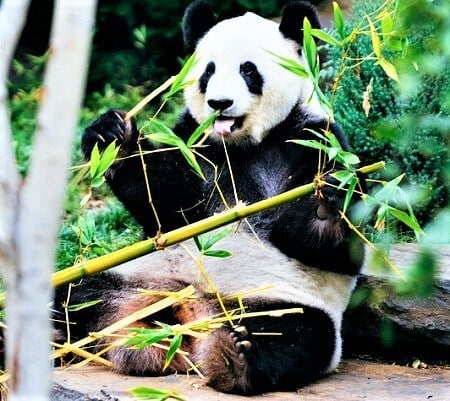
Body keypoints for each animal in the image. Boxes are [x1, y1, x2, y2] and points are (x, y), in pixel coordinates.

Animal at [55, 0, 366, 394]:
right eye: (209, 70)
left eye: (248, 69)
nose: (220, 103)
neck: (243, 144)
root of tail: (188, 315)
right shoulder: (195, 140)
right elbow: (167, 202)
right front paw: (113, 136)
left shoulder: (315, 138)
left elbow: (338, 247)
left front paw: (325, 204)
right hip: (129, 277)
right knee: (77, 296)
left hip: (282, 302)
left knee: (295, 335)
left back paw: (238, 355)